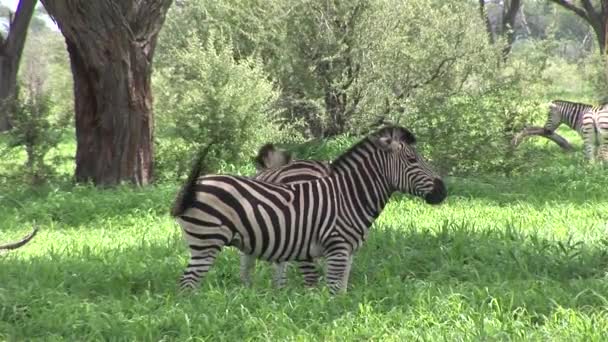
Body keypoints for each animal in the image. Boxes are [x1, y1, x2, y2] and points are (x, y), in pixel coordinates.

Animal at [171, 125, 446, 294]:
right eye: (412, 160)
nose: (443, 191)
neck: (349, 196)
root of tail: (194, 185)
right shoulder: (336, 249)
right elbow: (333, 295)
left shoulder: (347, 253)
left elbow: (341, 294)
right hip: (206, 242)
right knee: (186, 285)